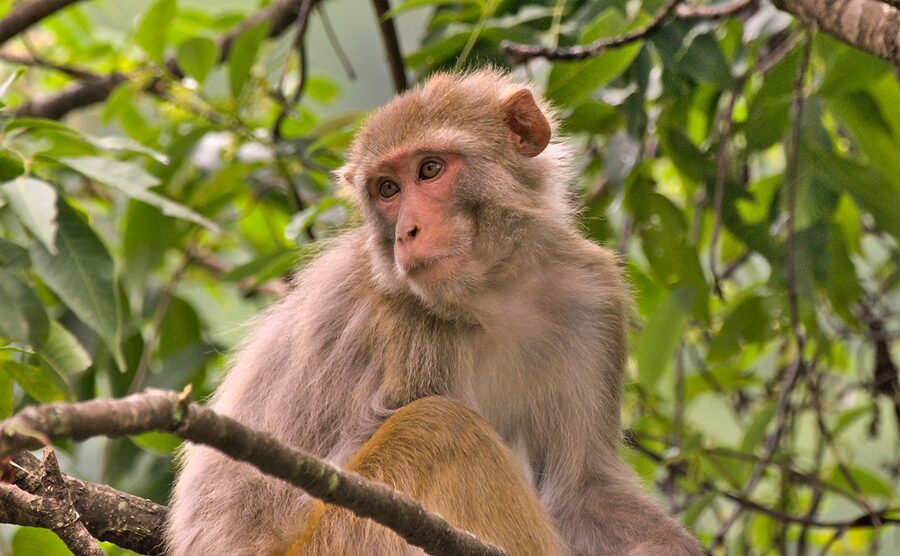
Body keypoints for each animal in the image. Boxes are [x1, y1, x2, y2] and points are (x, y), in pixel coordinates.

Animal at [166, 69, 702, 556]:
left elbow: (582, 491)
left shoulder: (591, 299)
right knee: (441, 427)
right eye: (387, 189)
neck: (494, 293)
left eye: (429, 170)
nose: (408, 231)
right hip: (333, 543)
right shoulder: (404, 319)